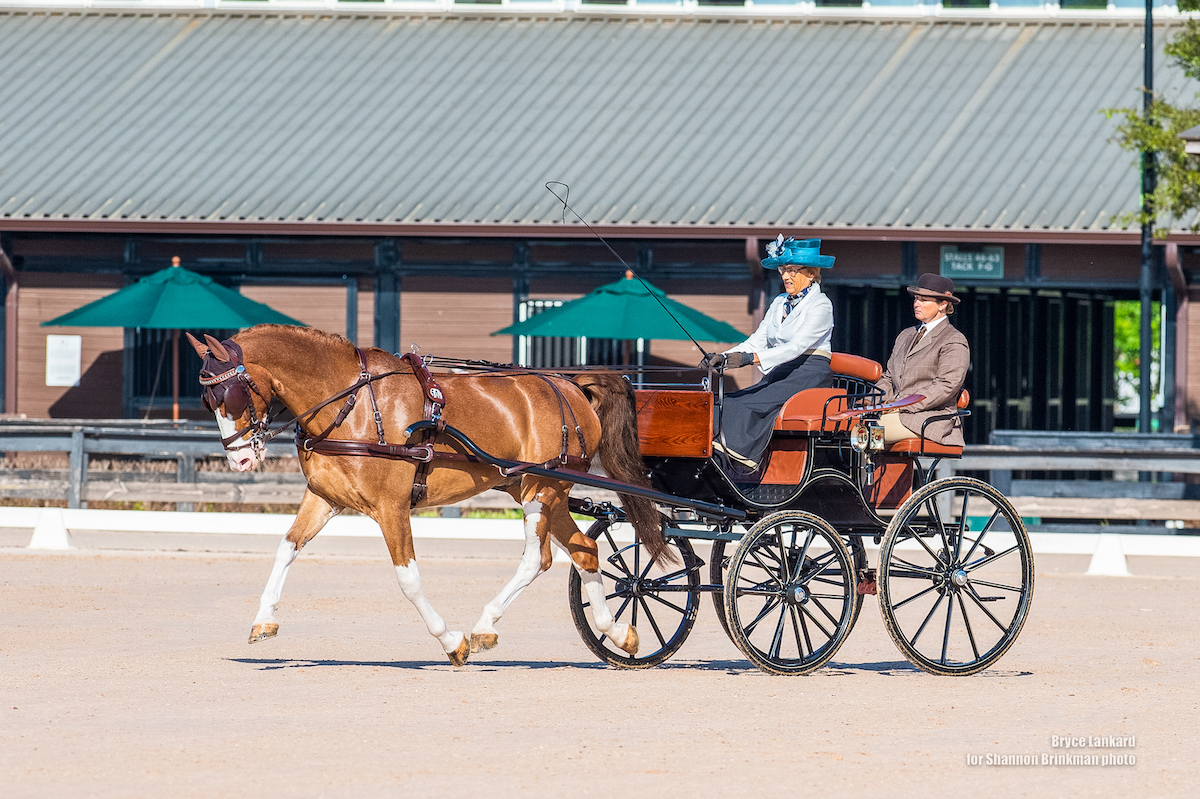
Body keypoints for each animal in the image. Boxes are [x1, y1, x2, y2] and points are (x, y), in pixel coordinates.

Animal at [192, 323, 672, 667]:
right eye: (207, 400)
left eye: (228, 395)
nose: (239, 459)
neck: (352, 402)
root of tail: (570, 384)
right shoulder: (325, 498)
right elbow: (286, 547)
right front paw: (264, 620)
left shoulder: (391, 507)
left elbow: (408, 579)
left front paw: (451, 641)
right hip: (534, 489)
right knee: (585, 551)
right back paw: (619, 632)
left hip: (543, 488)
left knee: (539, 558)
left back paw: (484, 625)